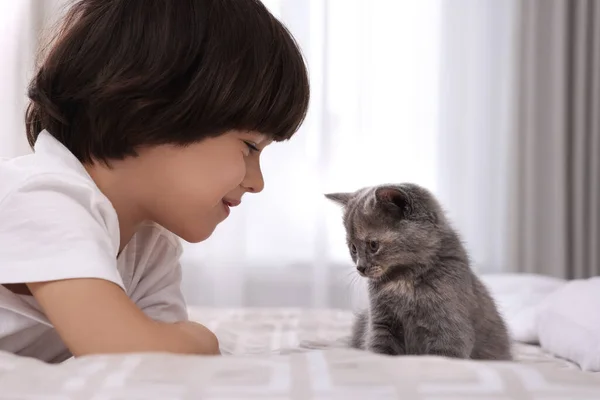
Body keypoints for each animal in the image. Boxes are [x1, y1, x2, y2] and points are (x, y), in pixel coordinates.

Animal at [328, 183, 510, 360]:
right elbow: (379, 350)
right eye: (353, 248)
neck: (404, 280)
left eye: (373, 245)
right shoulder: (381, 323)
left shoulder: (449, 328)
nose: (360, 267)